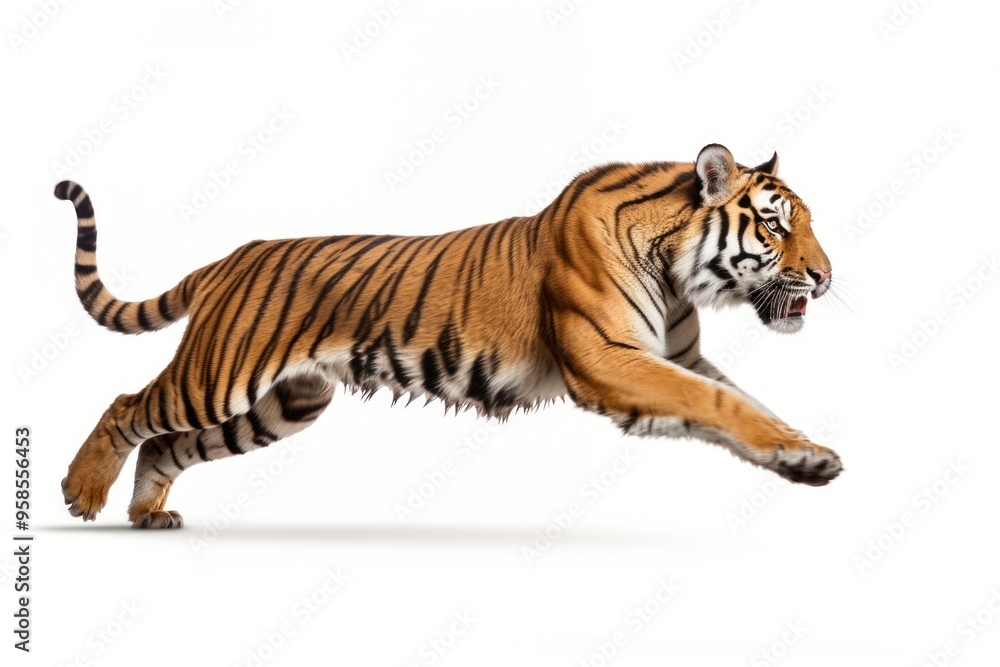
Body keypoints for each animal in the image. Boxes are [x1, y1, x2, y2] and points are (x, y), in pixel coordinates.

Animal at [54, 143, 842, 528]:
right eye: (776, 224)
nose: (827, 276)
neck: (677, 266)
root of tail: (228, 258)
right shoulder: (609, 359)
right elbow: (722, 404)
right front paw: (805, 456)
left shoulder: (680, 358)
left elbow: (745, 405)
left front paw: (804, 457)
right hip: (218, 377)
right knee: (129, 406)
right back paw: (83, 492)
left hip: (284, 405)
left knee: (166, 443)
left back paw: (146, 514)